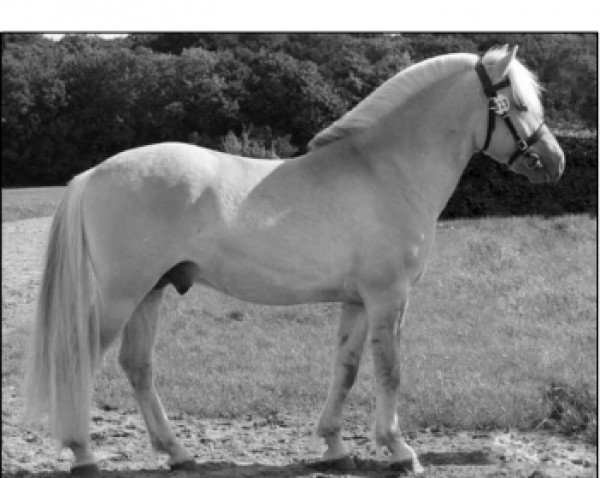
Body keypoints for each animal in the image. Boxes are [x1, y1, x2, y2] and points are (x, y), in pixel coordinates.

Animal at [23, 44, 564, 474]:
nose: (556, 161)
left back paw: (178, 453)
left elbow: (346, 369)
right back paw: (83, 454)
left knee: (137, 366)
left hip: (150, 292)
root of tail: (93, 174)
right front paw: (399, 451)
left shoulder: (358, 302)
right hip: (123, 294)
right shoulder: (389, 297)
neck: (384, 170)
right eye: (518, 104)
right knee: (83, 360)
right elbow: (389, 370)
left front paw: (335, 447)